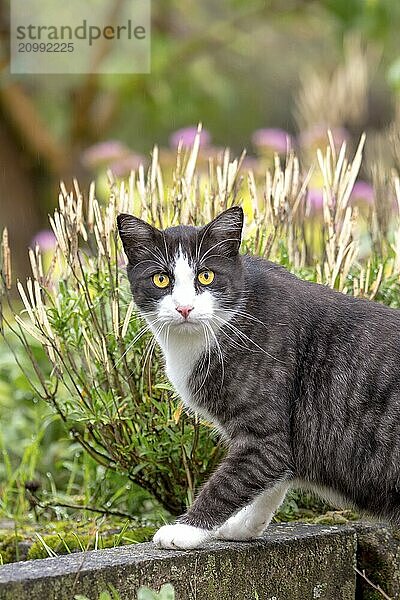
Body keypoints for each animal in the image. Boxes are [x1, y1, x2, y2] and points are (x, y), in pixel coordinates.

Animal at [116, 205, 400, 548]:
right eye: (161, 279)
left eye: (206, 275)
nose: (184, 308)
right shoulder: (282, 442)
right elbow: (273, 478)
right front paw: (243, 527)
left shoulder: (265, 433)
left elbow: (232, 481)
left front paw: (185, 530)